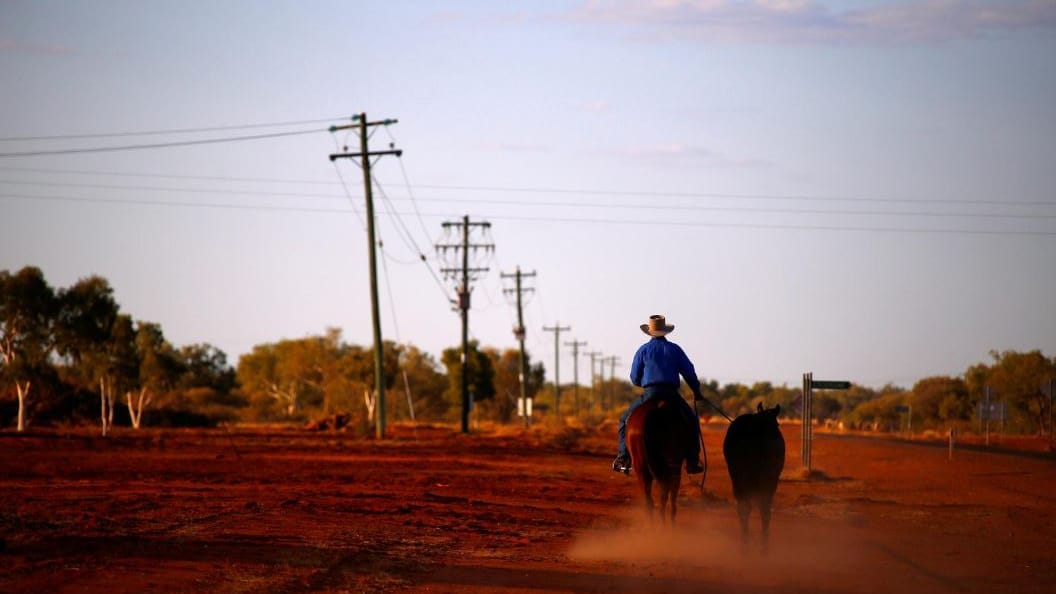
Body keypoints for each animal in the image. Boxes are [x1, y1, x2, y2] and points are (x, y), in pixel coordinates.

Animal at [718, 399, 785, 553]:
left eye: (777, 424)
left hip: (745, 479)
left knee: (749, 508)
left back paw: (750, 544)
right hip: (764, 479)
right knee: (762, 509)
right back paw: (760, 546)